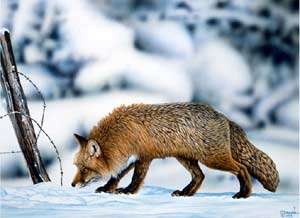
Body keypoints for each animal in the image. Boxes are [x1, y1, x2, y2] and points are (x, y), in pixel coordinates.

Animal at [71, 103, 280, 198]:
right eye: (77, 166)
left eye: (84, 169)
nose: (72, 185)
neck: (121, 133)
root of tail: (223, 117)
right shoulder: (130, 158)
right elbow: (117, 175)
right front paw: (108, 189)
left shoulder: (144, 157)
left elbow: (136, 178)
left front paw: (128, 192)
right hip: (186, 158)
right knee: (200, 176)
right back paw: (186, 193)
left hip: (213, 159)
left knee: (242, 169)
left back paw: (244, 194)